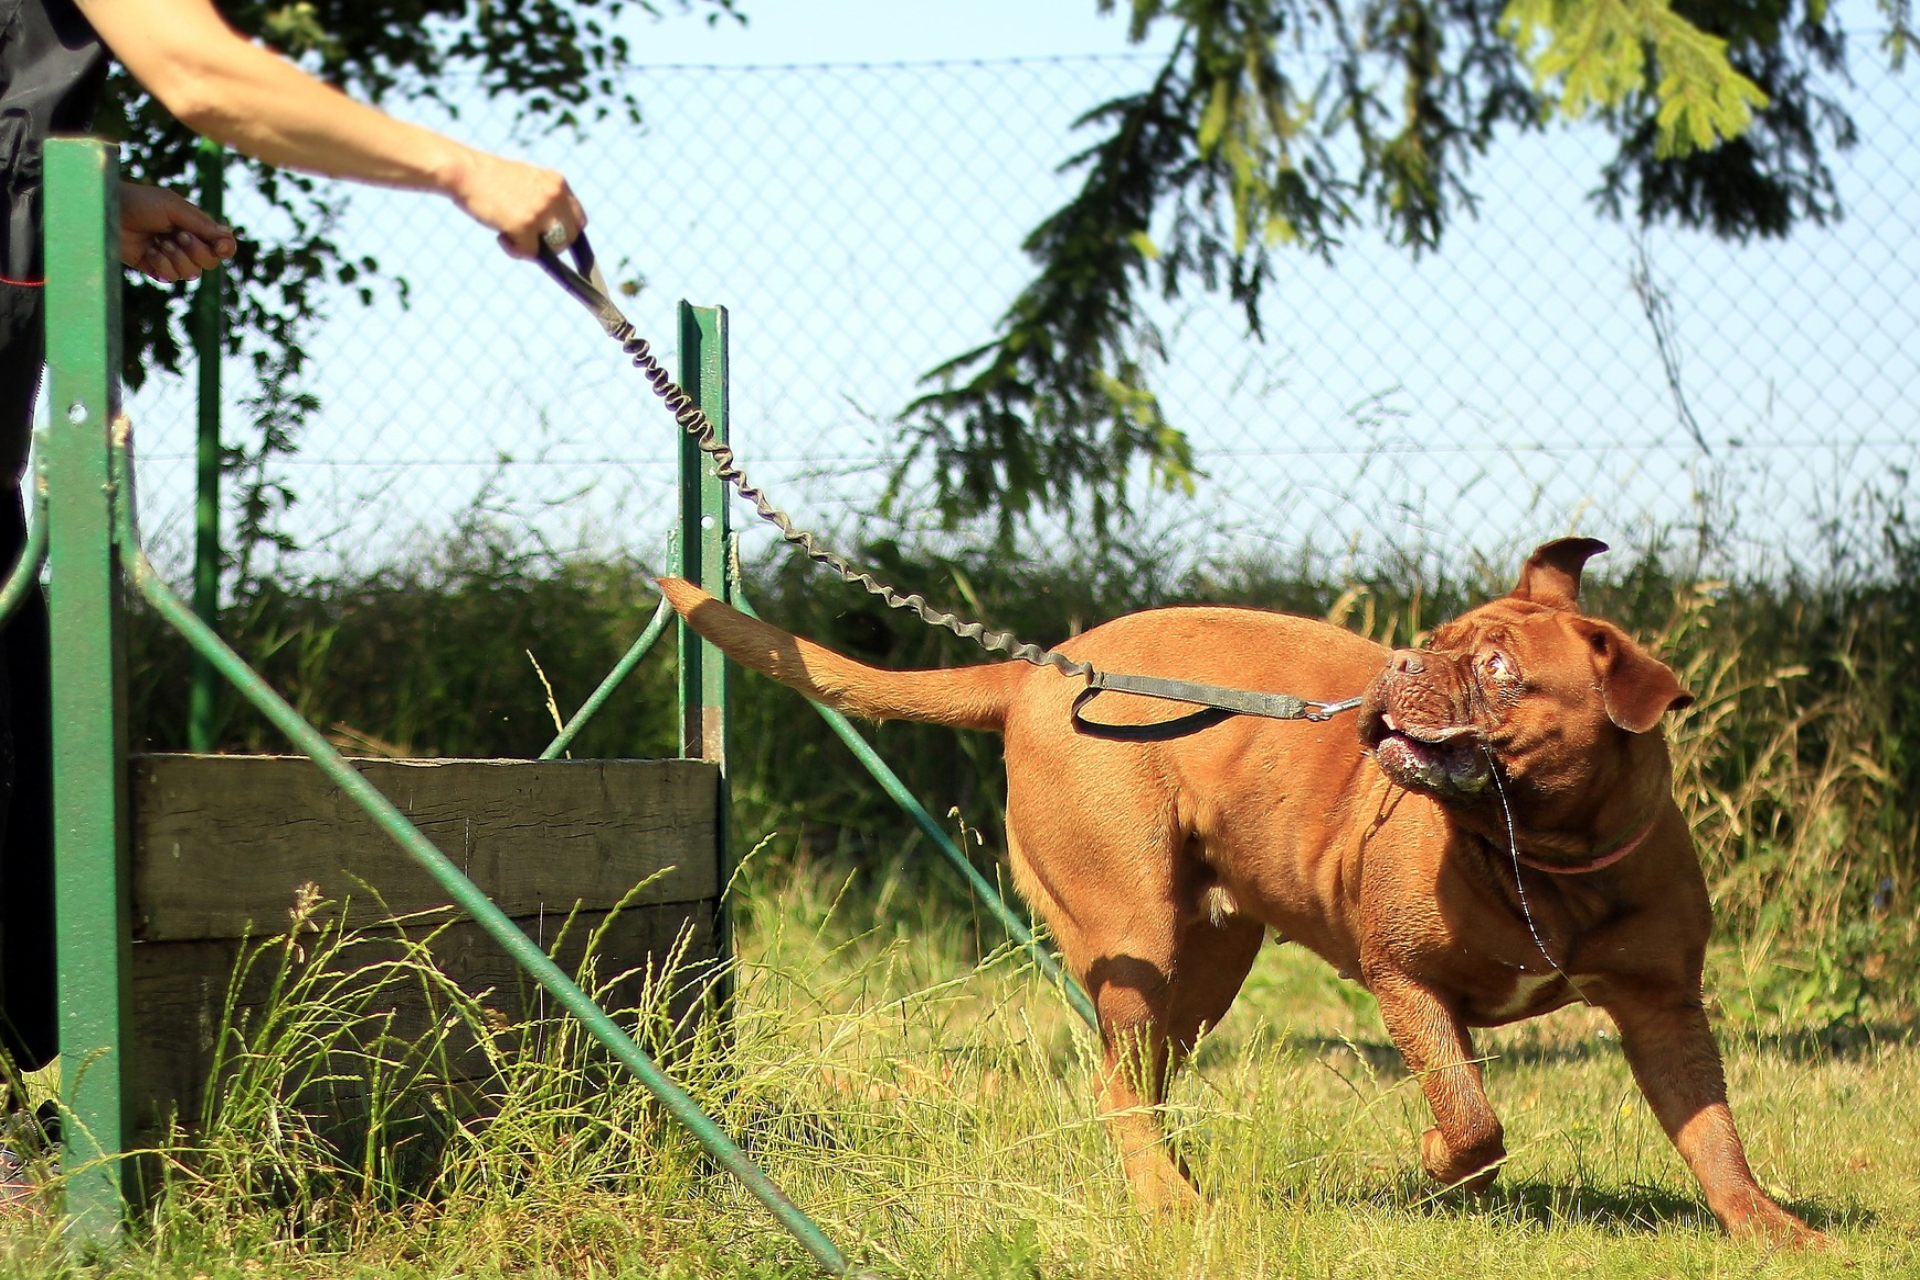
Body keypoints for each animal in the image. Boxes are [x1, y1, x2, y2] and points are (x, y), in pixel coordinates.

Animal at [656, 537, 1812, 1243]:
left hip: (1202, 966)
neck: (1543, 855)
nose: (1400, 663)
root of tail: (1041, 671)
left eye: (1497, 669)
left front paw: (1767, 1226)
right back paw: (1167, 1201)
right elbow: (1472, 1110)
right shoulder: (1406, 980)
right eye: (1436, 644)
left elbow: (1711, 1128)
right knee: (1117, 1083)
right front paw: (1442, 1162)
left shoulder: (1664, 1008)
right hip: (1131, 929)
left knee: (1143, 1077)